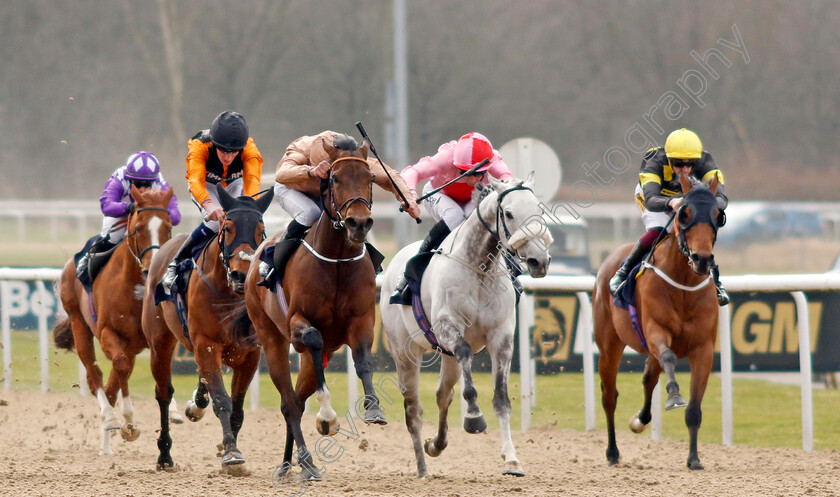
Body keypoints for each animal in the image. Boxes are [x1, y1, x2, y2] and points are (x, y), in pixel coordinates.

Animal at [53, 185, 177, 454]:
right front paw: (128, 422)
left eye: (168, 227)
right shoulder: (108, 332)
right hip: (79, 323)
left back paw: (106, 445)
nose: (153, 268)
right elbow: (118, 367)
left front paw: (174, 411)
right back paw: (110, 419)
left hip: (131, 346)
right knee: (95, 377)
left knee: (112, 386)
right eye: (138, 227)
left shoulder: (160, 338)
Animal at [142, 183, 270, 468]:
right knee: (163, 393)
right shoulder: (207, 344)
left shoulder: (250, 353)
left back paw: (196, 403)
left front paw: (227, 447)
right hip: (160, 343)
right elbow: (222, 400)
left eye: (261, 229)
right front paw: (232, 453)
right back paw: (164, 454)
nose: (241, 275)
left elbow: (237, 408)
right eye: (228, 227)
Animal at [244, 139, 386, 480]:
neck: (336, 260)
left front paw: (373, 408)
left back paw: (290, 462)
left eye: (371, 178)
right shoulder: (299, 324)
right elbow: (313, 338)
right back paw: (305, 461)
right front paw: (328, 416)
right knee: (288, 403)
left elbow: (363, 360)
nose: (359, 223)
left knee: (296, 399)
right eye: (334, 178)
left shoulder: (362, 321)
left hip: (312, 359)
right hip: (272, 340)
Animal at [378, 171, 552, 476]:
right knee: (413, 410)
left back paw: (435, 445)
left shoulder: (501, 338)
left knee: (442, 395)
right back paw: (422, 468)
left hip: (445, 358)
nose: (538, 260)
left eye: (539, 210)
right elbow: (466, 359)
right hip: (404, 354)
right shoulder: (449, 328)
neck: (480, 268)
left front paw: (511, 459)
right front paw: (473, 417)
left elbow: (501, 399)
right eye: (508, 213)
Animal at [592, 174, 724, 468]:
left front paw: (694, 459)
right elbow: (669, 357)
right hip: (609, 345)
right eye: (684, 213)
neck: (684, 285)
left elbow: (694, 410)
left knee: (647, 377)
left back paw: (640, 421)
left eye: (718, 215)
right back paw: (612, 452)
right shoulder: (656, 332)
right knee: (609, 396)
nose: (702, 259)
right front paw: (674, 395)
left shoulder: (704, 349)